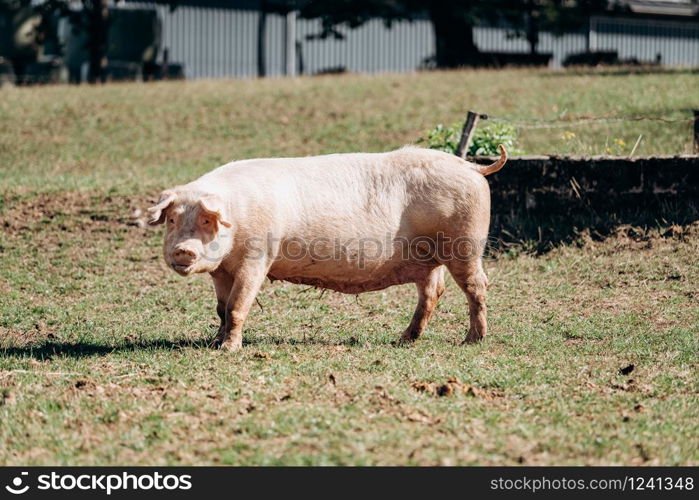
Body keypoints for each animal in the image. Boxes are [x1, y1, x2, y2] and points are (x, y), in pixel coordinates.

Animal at [149, 143, 508, 350]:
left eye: (207, 220)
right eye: (173, 219)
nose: (183, 250)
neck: (237, 216)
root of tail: (471, 166)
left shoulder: (258, 256)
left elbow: (238, 306)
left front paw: (229, 350)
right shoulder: (221, 270)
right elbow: (222, 309)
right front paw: (213, 342)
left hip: (465, 243)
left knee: (477, 285)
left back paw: (471, 340)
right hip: (428, 258)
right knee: (433, 292)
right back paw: (404, 340)